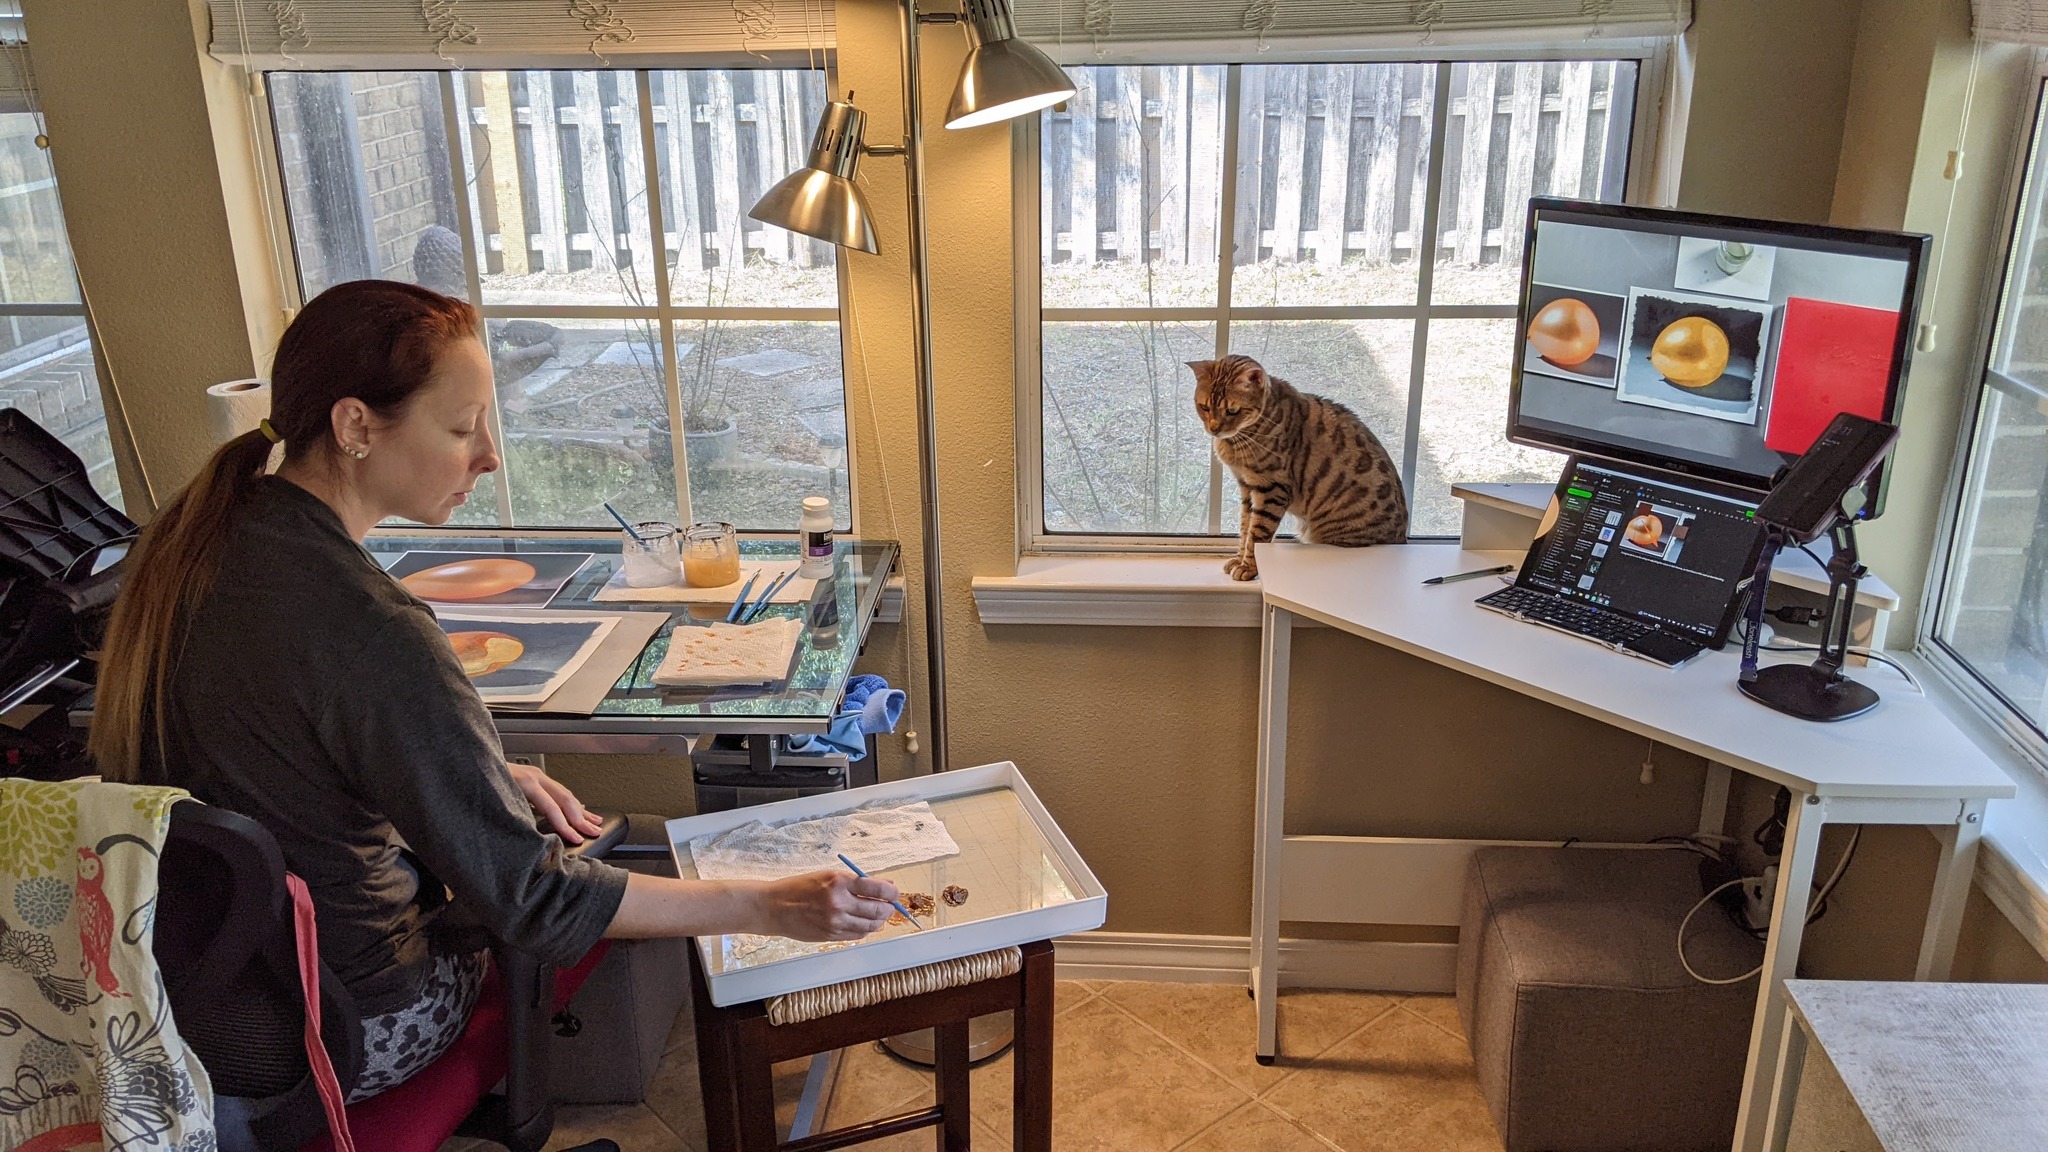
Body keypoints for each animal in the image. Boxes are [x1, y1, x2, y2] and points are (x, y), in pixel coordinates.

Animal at [1187, 352, 1409, 582]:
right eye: (1204, 407)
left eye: (1232, 411)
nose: (1214, 428)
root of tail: (1402, 538)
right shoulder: (1247, 487)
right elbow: (1245, 527)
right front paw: (1239, 559)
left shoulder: (1272, 489)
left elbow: (1257, 534)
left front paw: (1248, 566)